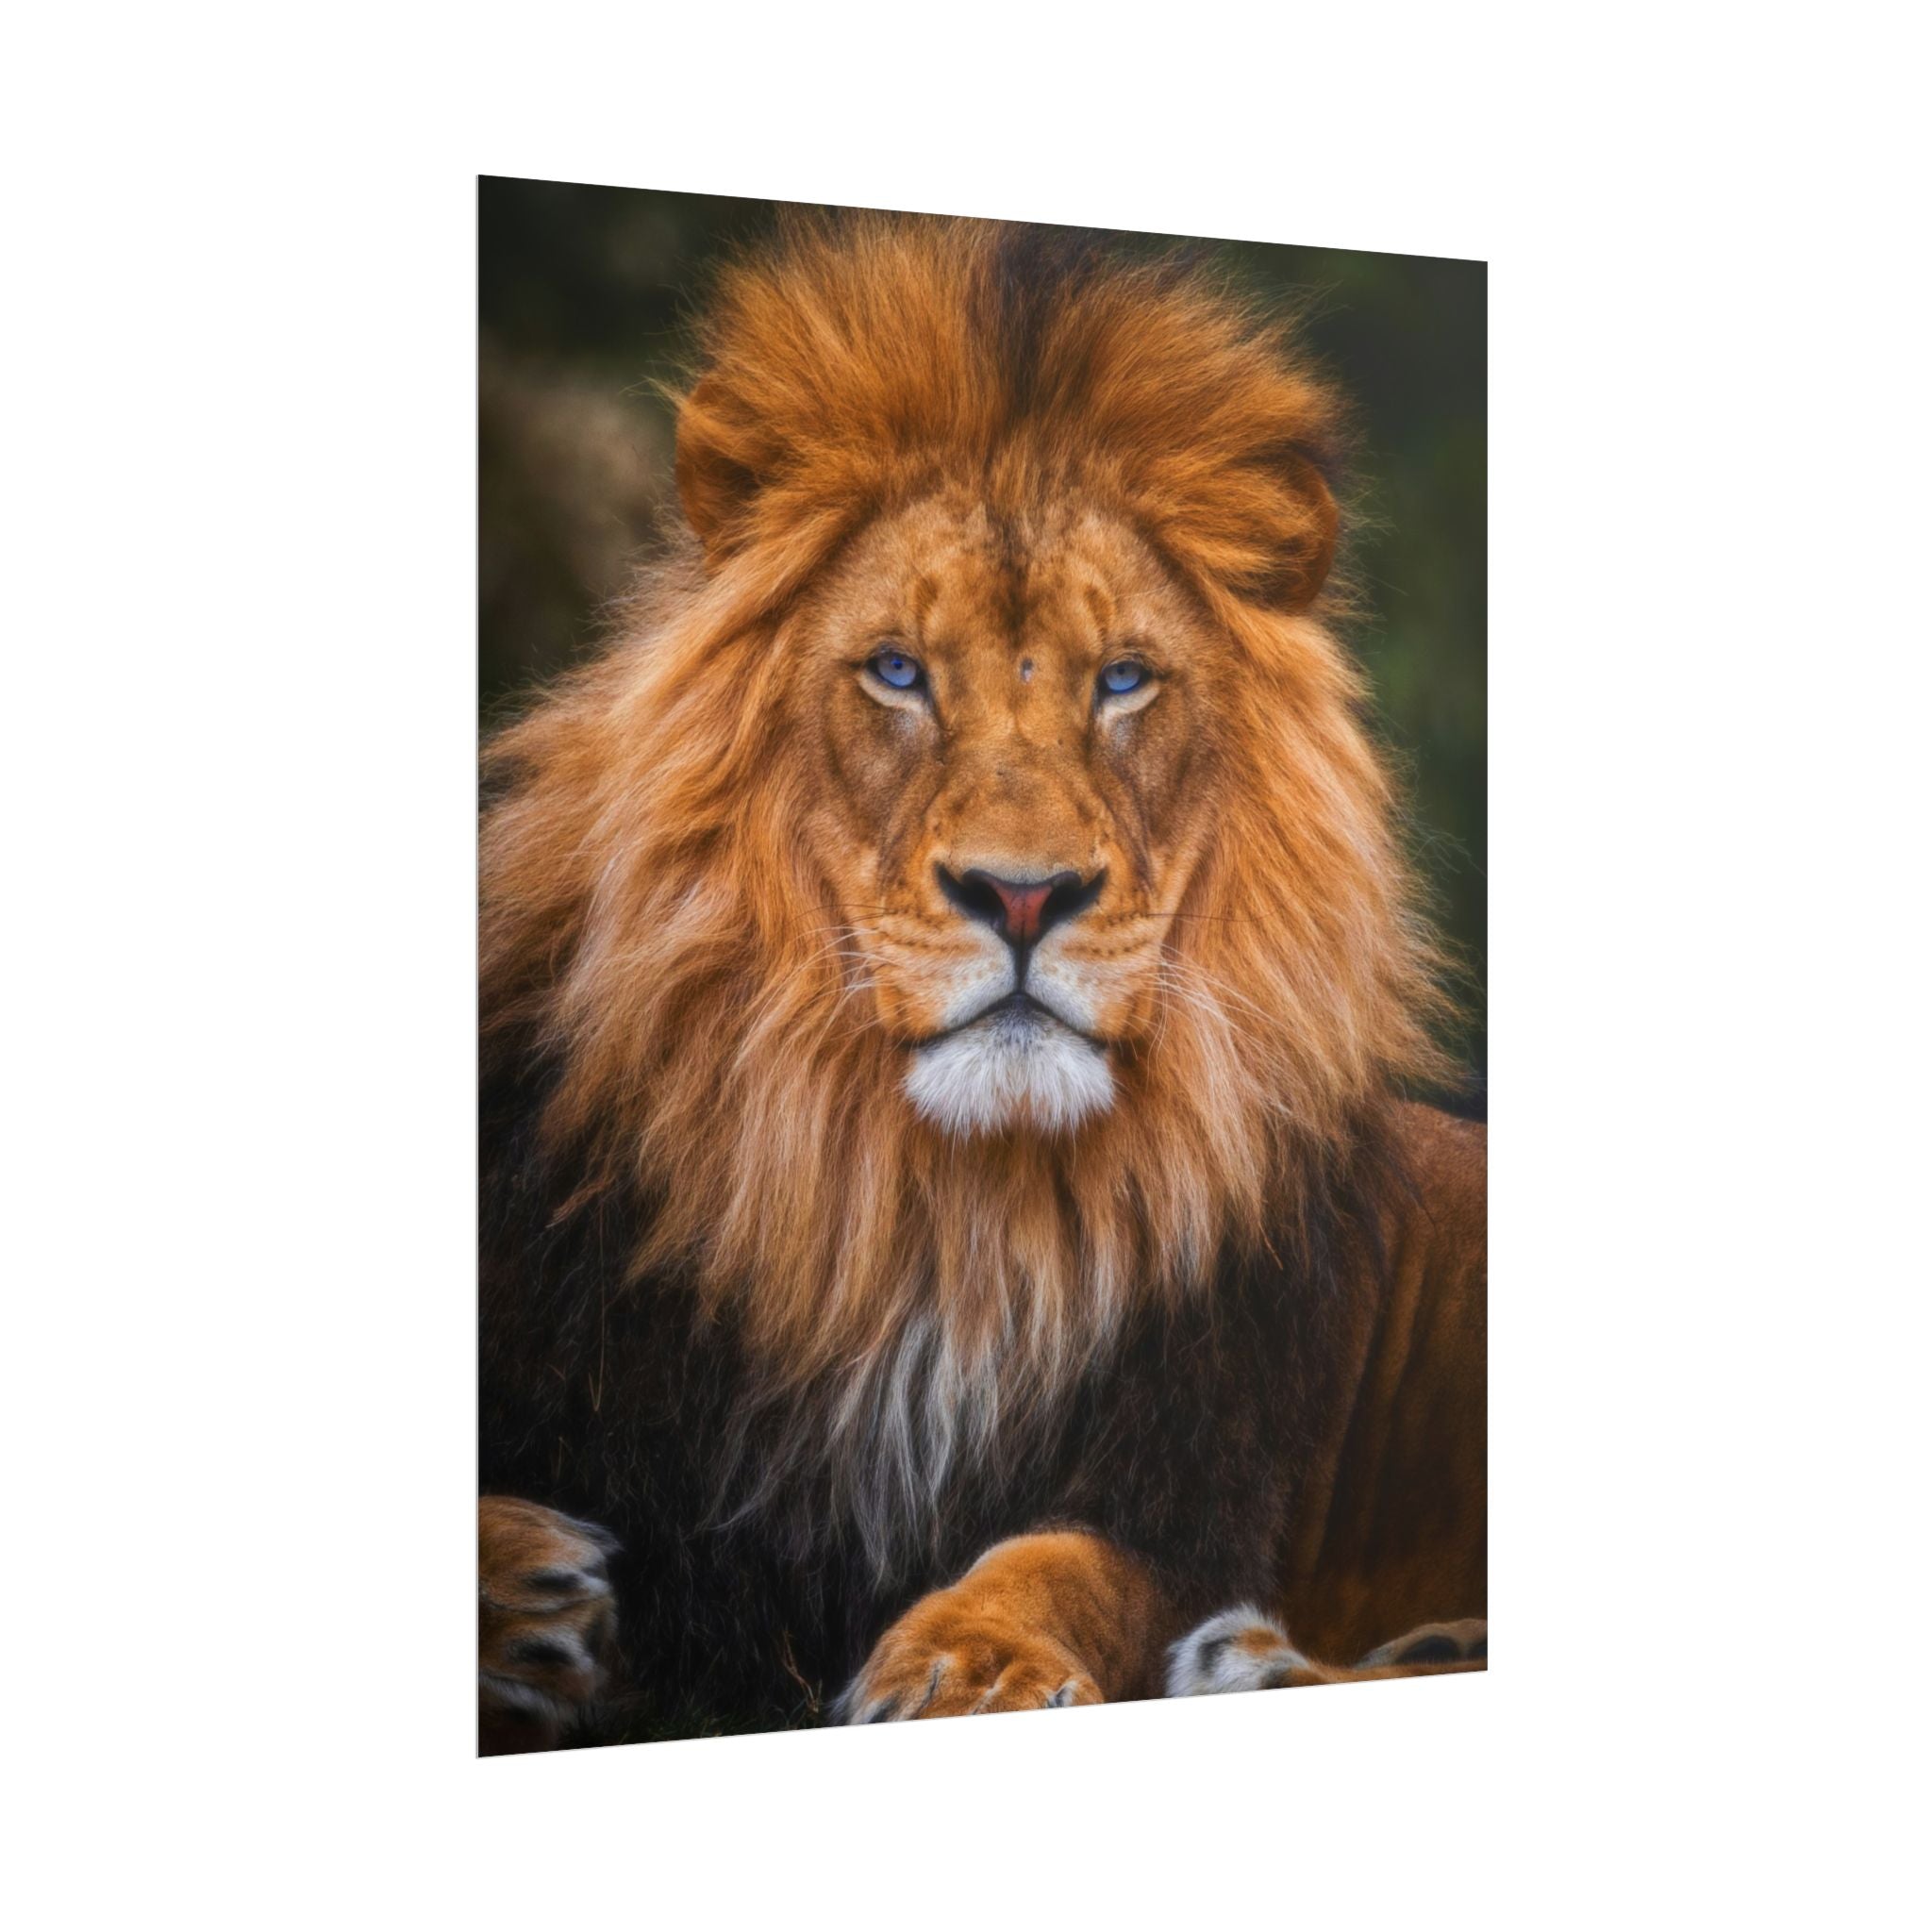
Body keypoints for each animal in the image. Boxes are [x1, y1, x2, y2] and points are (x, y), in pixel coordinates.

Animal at [478, 213, 1485, 1750]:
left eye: (1122, 680)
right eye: (898, 671)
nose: (1022, 895)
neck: (935, 1211)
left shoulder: (1192, 1487)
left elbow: (1064, 1560)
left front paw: (969, 1661)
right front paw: (526, 1591)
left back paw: (1261, 1661)